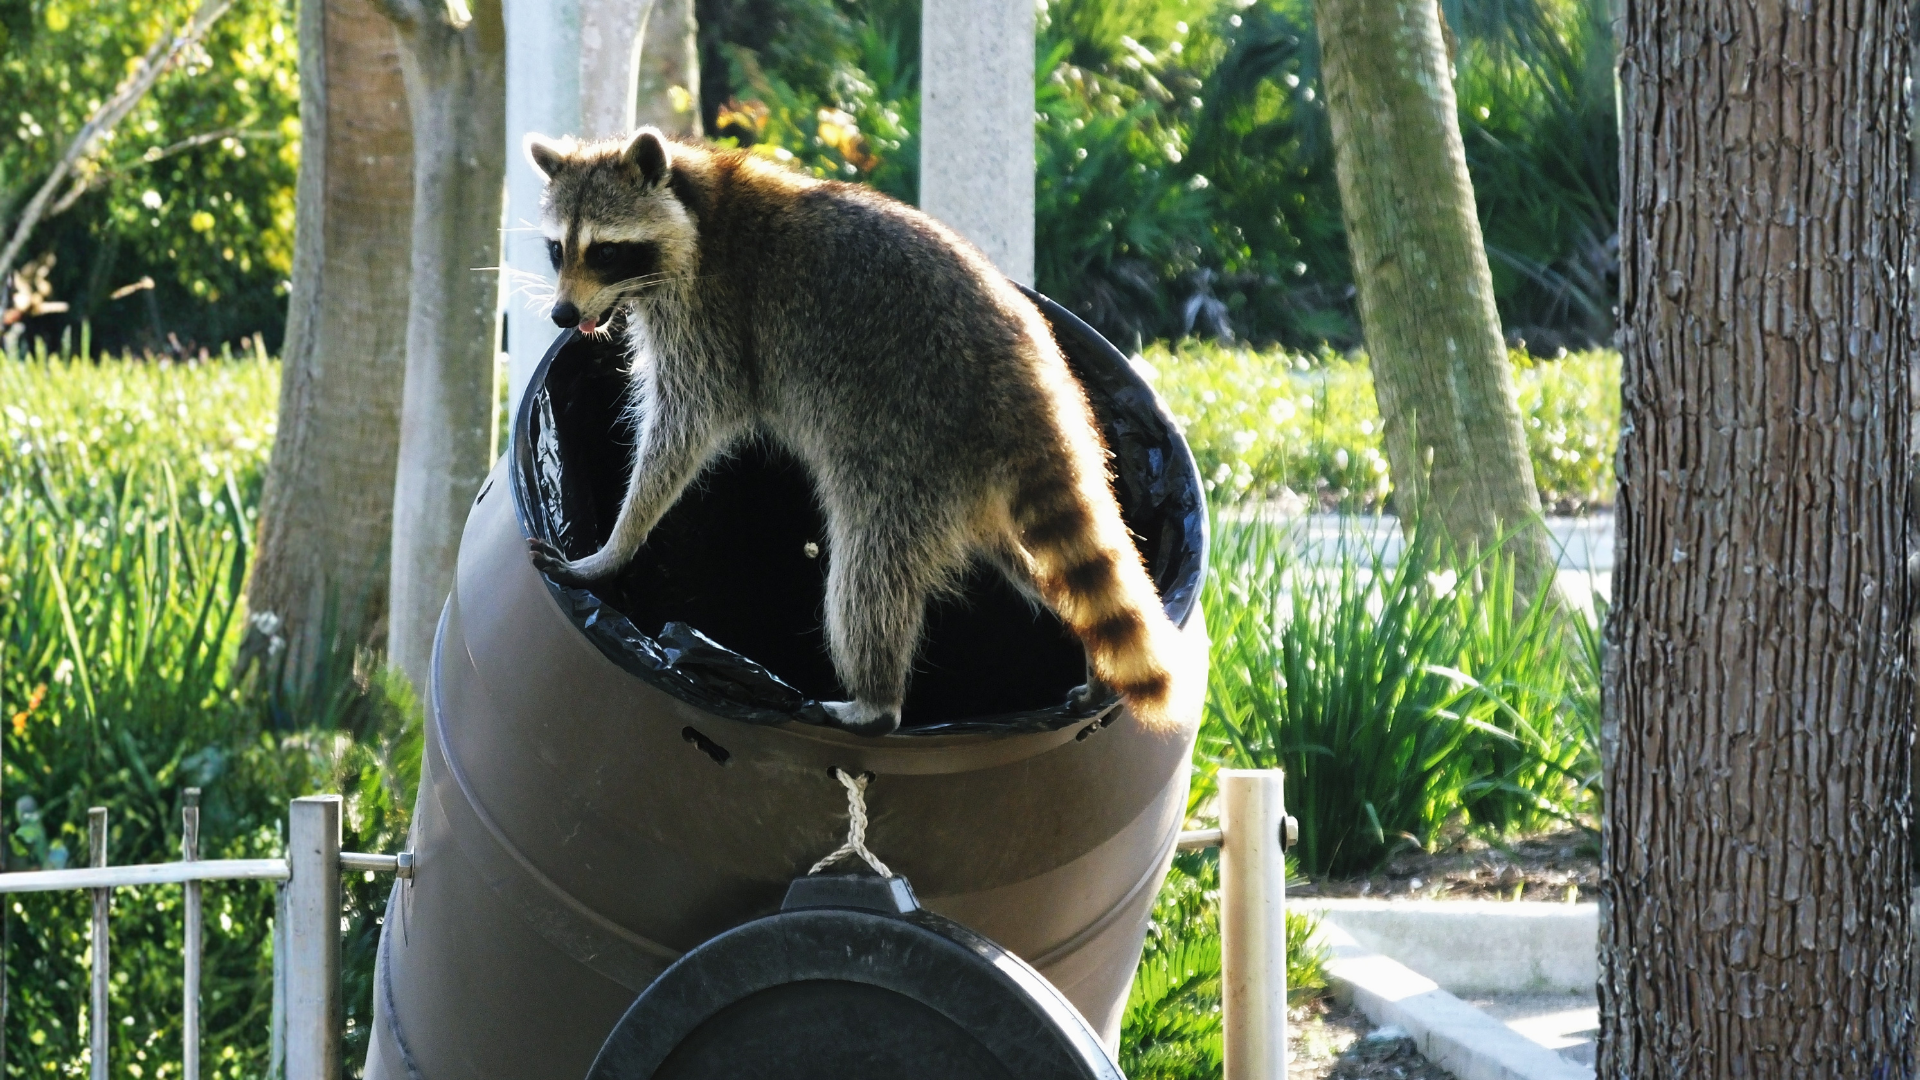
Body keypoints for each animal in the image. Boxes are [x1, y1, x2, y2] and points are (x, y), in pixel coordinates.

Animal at [523, 127, 1197, 737]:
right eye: (558, 249)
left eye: (606, 251)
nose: (561, 314)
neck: (697, 203)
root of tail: (1035, 387)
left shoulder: (712, 316)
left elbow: (684, 428)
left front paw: (616, 544)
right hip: (969, 484)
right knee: (1039, 567)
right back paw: (1088, 656)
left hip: (912, 448)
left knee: (870, 566)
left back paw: (876, 702)